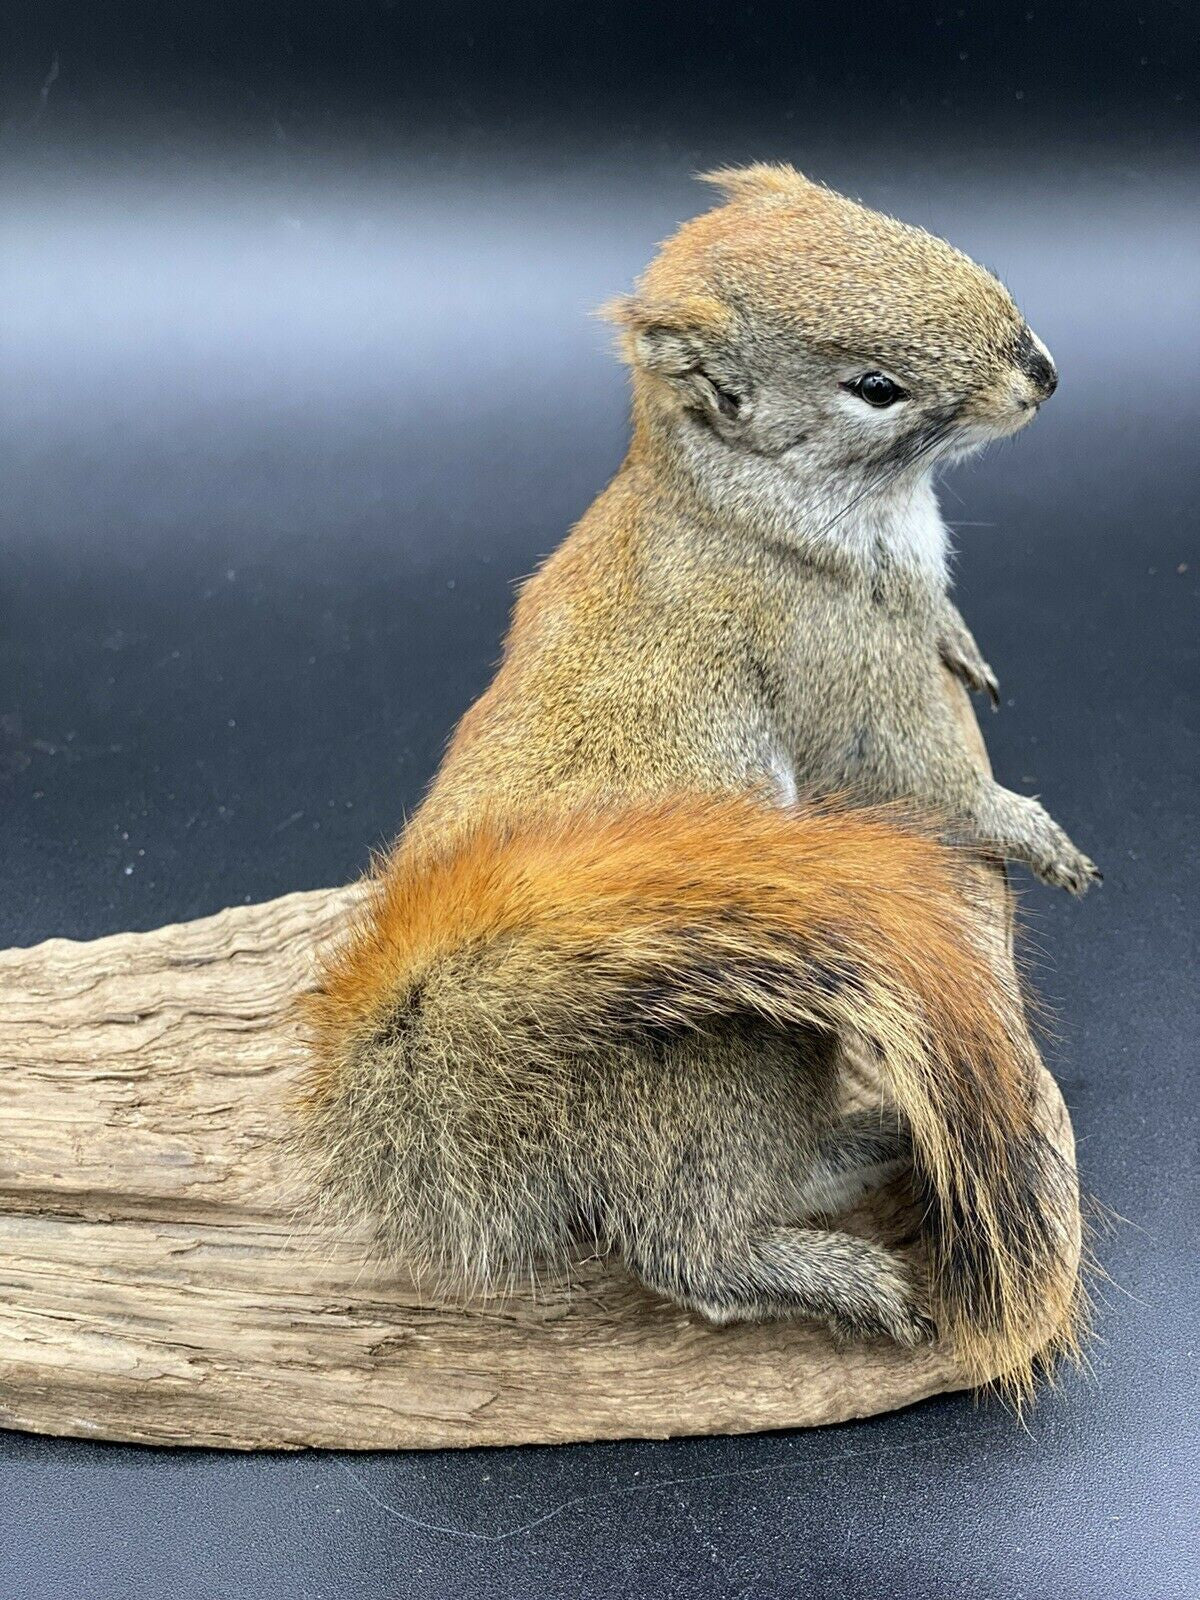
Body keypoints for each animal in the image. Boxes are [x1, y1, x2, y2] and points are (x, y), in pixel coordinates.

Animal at [298, 165, 1095, 1397]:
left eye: (902, 223)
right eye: (874, 388)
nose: (1041, 372)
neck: (739, 500)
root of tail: (472, 1081)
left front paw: (964, 640)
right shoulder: (837, 659)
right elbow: (921, 776)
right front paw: (1029, 829)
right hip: (736, 1052)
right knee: (690, 1249)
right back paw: (838, 1275)